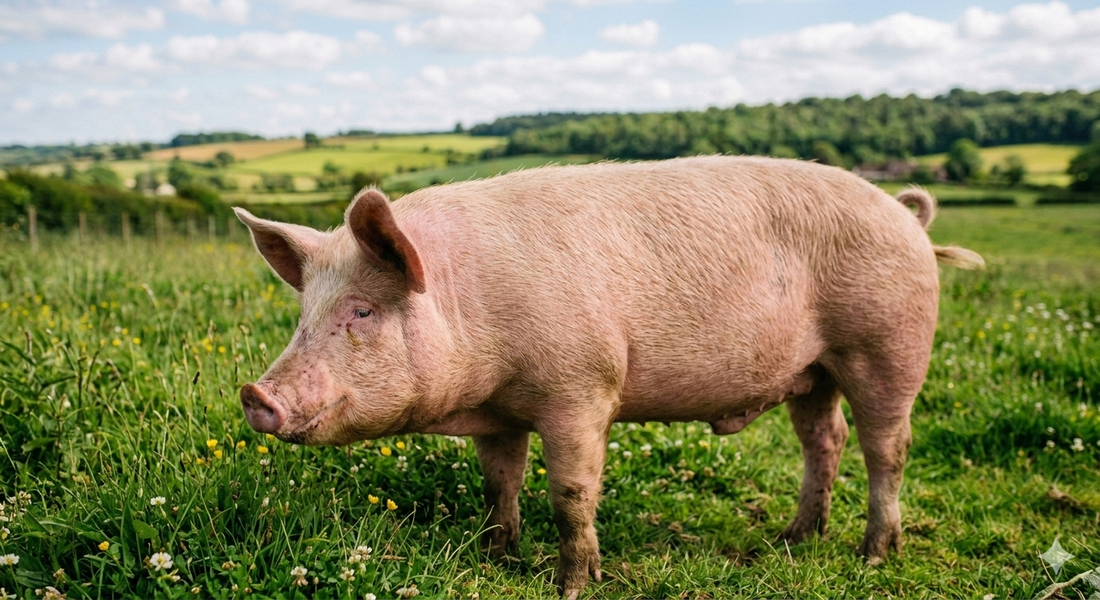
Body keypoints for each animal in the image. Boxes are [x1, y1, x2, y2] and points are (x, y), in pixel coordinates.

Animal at [234, 155, 983, 599]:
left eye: (362, 309)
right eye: (305, 311)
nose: (255, 394)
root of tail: (907, 215)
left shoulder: (582, 388)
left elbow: (570, 493)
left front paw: (572, 584)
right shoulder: (500, 412)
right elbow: (499, 482)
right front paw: (497, 558)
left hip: (886, 345)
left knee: (887, 447)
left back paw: (874, 556)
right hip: (813, 369)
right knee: (823, 440)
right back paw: (794, 540)